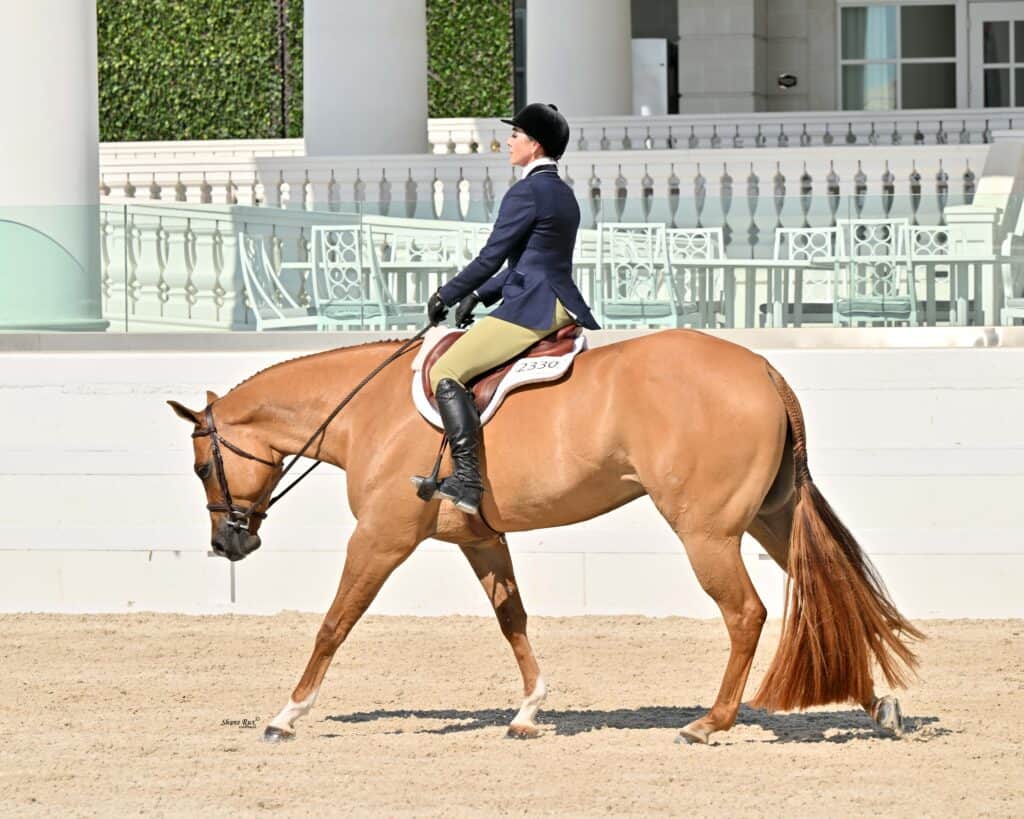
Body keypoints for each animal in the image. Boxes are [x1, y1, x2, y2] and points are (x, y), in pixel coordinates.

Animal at [168, 329, 922, 745]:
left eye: (203, 466)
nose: (228, 546)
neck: (368, 413)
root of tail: (764, 369)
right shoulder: (480, 538)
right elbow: (514, 619)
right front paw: (528, 711)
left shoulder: (381, 536)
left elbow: (334, 622)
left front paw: (286, 714)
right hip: (770, 518)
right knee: (832, 597)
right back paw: (876, 702)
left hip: (706, 531)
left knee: (747, 613)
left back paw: (710, 721)